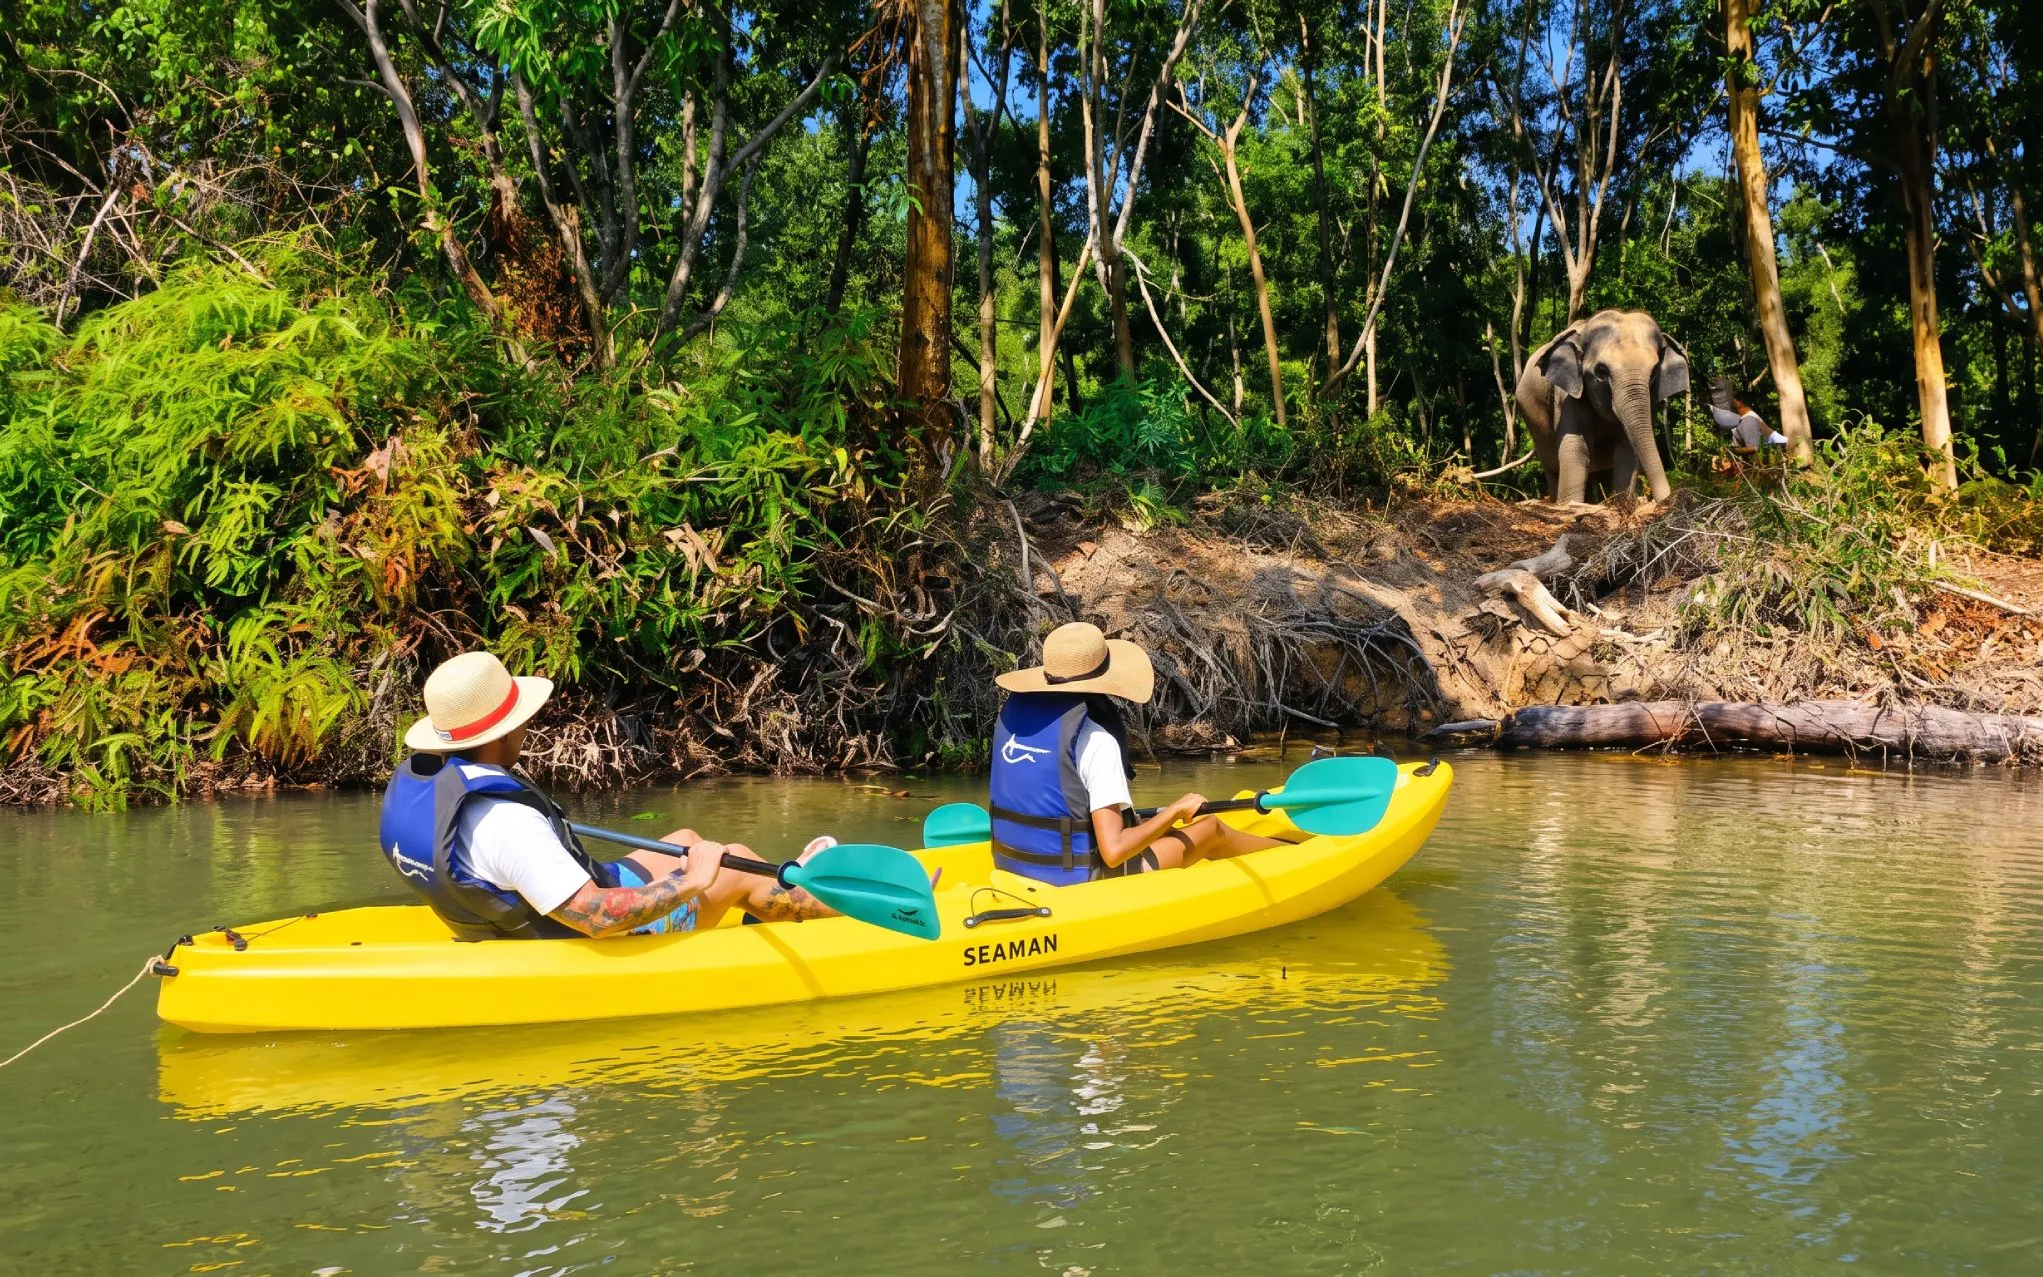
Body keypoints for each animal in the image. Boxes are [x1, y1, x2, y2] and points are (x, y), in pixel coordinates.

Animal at [1515, 309, 1690, 504]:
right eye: (1601, 371)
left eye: (1653, 373)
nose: (1669, 499)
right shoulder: (1567, 395)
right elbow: (1576, 446)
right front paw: (1571, 504)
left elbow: (1626, 449)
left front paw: (1620, 504)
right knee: (1553, 470)